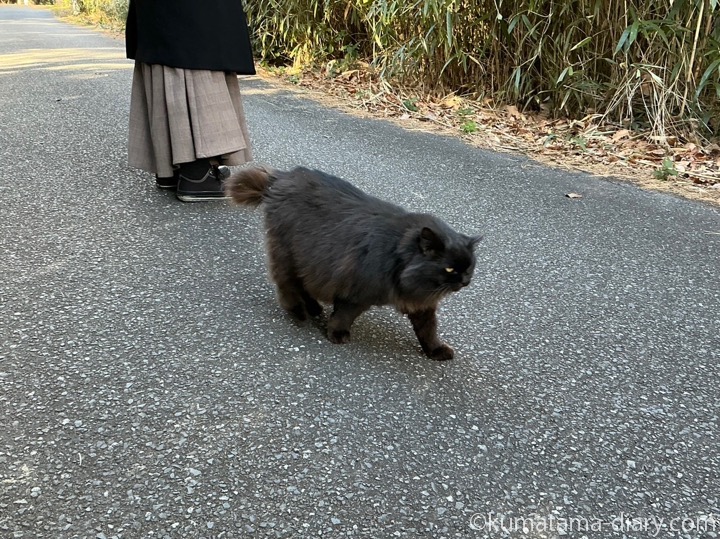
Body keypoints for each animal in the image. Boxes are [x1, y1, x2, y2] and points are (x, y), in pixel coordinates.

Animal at [228, 168, 480, 362]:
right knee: (286, 286)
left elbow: (428, 330)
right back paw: (299, 313)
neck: (398, 256)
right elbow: (344, 314)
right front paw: (336, 334)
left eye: (469, 268)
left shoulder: (421, 305)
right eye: (450, 269)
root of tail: (281, 176)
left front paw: (435, 351)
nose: (465, 281)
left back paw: (313, 308)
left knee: (301, 286)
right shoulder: (357, 292)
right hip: (289, 254)